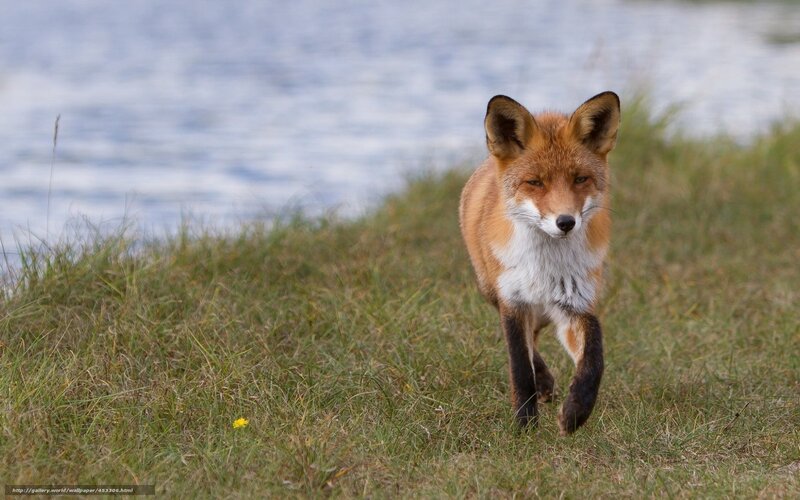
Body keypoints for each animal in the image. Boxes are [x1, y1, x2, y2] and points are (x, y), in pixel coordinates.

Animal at [459, 91, 620, 434]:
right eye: (535, 182)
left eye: (580, 179)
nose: (566, 222)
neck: (546, 268)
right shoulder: (512, 301)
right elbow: (519, 366)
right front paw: (524, 426)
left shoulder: (576, 304)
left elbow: (594, 357)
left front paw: (576, 412)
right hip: (491, 290)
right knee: (529, 345)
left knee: (535, 337)